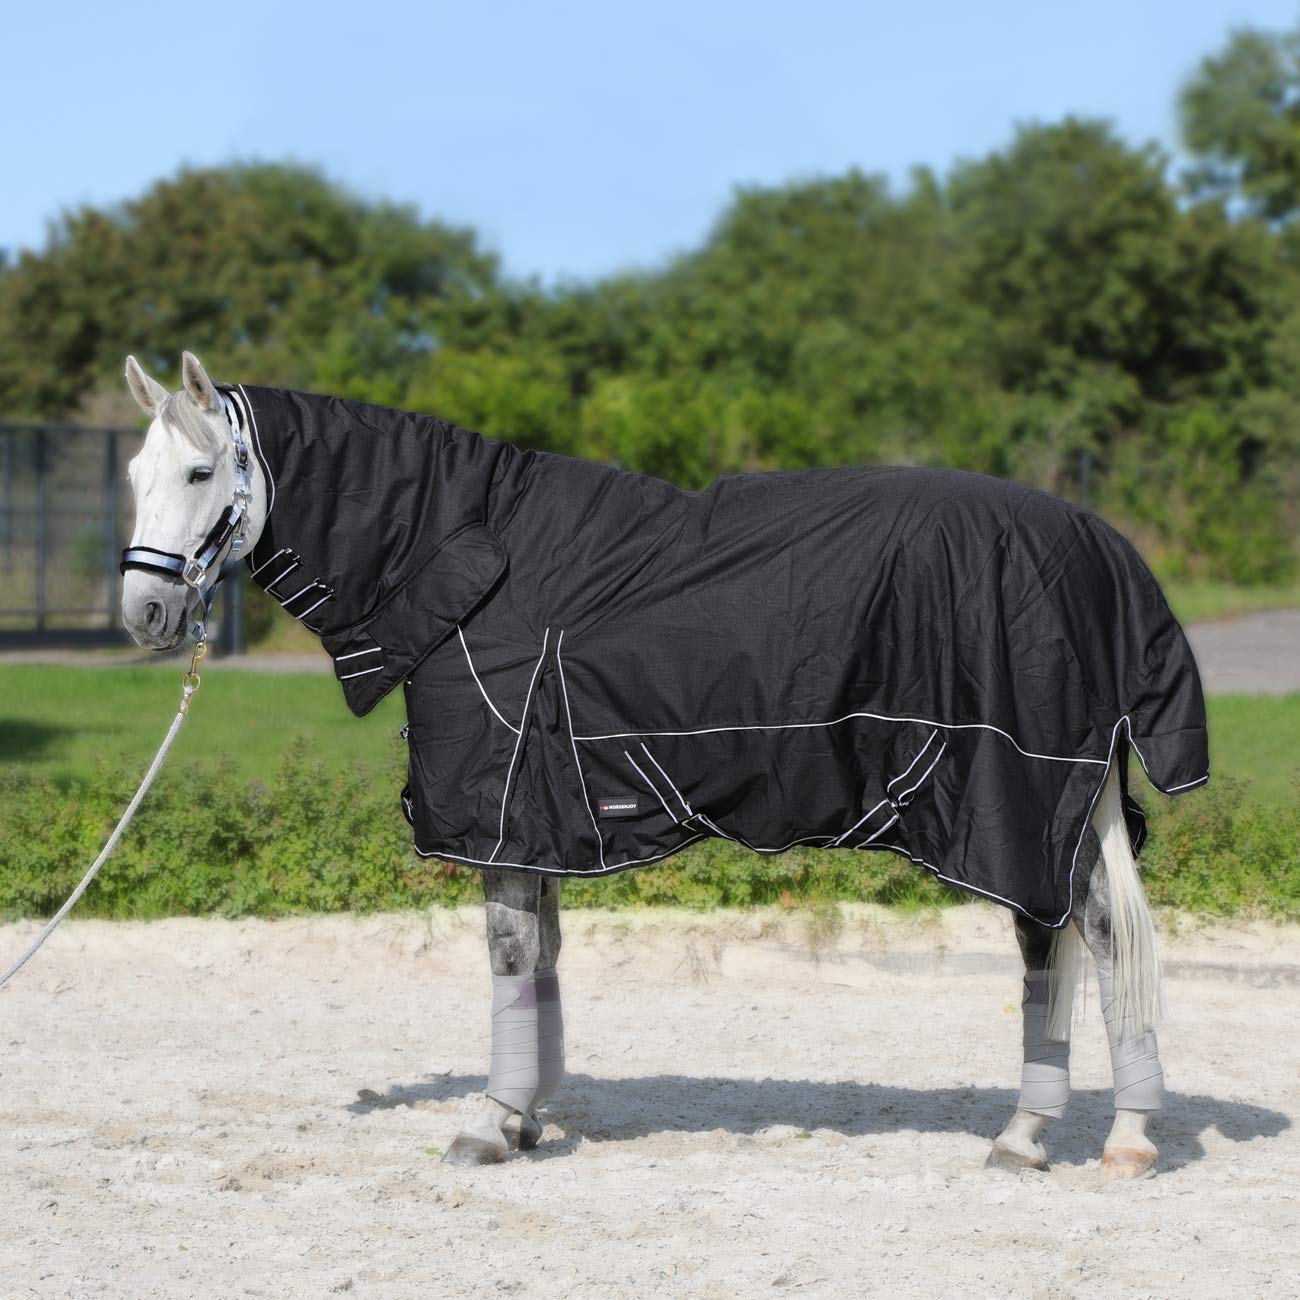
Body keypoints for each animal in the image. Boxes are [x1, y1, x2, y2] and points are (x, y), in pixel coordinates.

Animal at [119, 350, 1203, 1177]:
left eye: (199, 474)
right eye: (133, 473)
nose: (146, 613)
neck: (468, 559)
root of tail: (1102, 549)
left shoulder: (500, 810)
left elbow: (507, 957)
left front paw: (489, 1121)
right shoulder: (539, 822)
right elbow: (543, 959)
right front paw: (528, 1113)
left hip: (1021, 801)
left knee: (1090, 939)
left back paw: (1111, 1137)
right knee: (1058, 944)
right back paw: (1035, 1134)